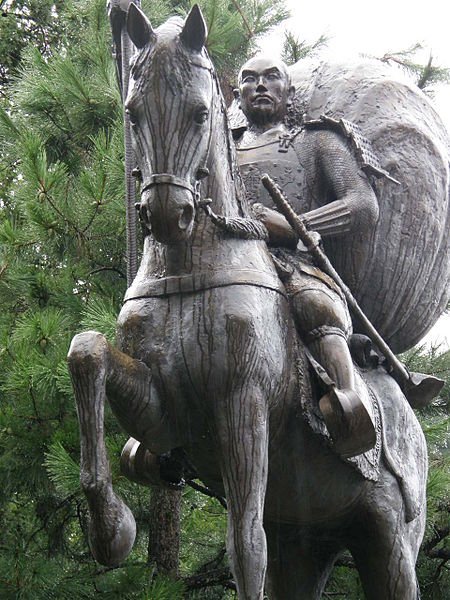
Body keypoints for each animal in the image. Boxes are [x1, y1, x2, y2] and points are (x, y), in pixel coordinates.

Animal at [67, 3, 428, 596]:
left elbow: (244, 546)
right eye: (132, 113)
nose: (167, 215)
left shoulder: (243, 403)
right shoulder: (166, 414)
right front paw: (111, 530)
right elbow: (87, 351)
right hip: (307, 539)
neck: (189, 271)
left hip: (389, 536)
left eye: (198, 113)